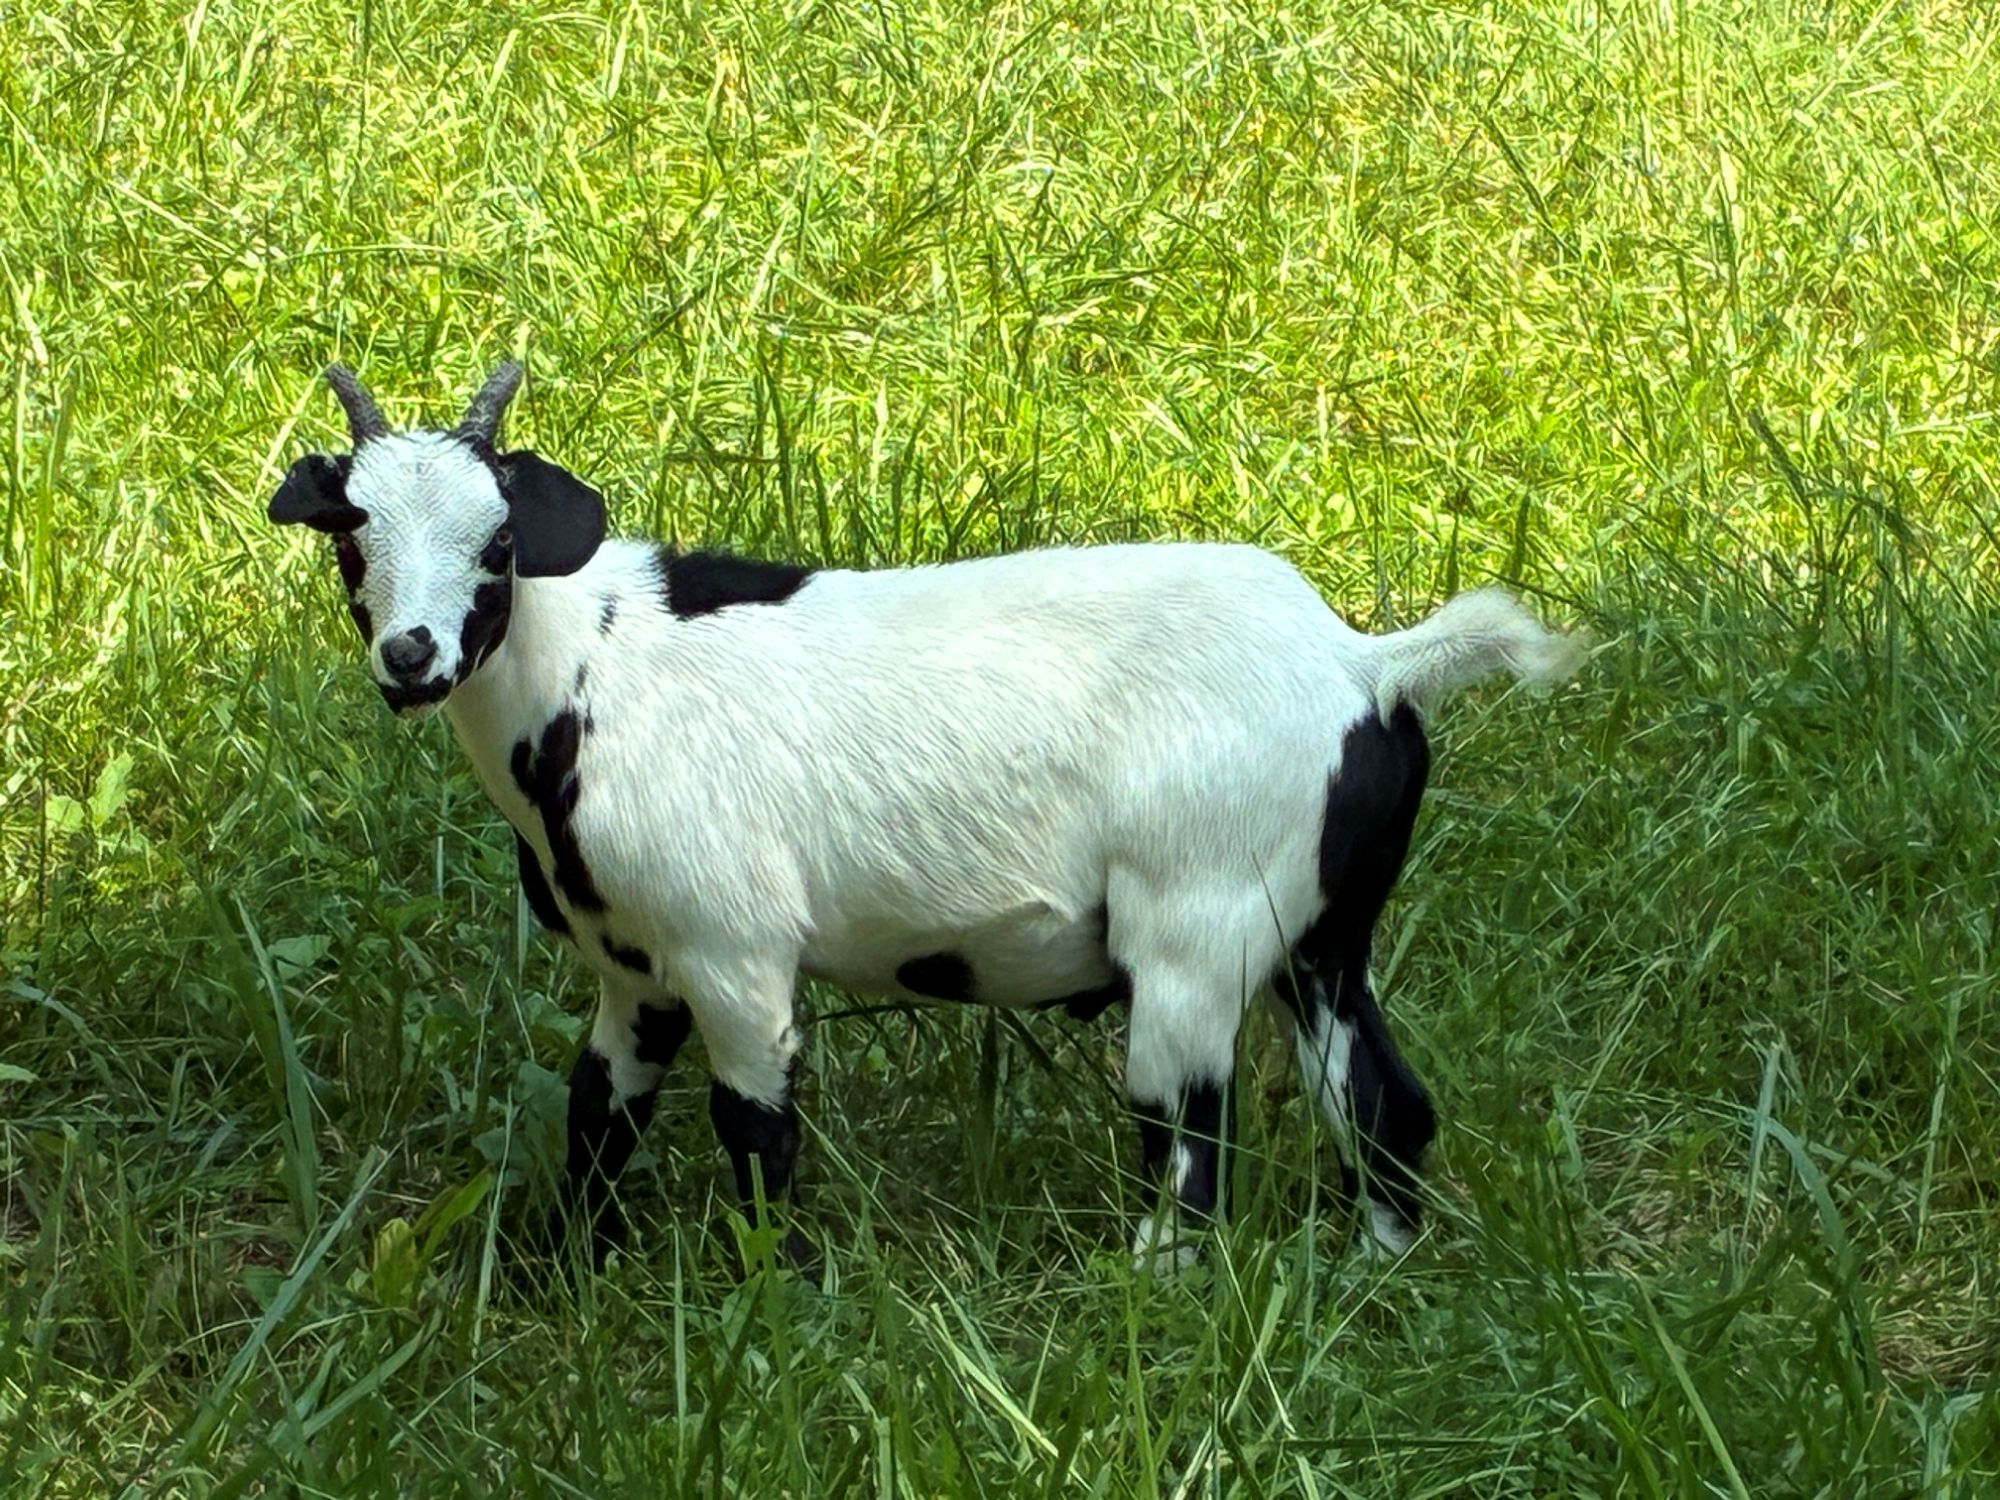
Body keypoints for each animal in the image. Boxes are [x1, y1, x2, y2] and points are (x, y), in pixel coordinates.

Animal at [268, 362, 1583, 1270]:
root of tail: (1365, 663)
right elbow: (598, 1116)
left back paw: (1151, 1293)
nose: (411, 655)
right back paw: (1374, 1270)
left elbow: (755, 1129)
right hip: (1317, 925)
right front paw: (561, 1278)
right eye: (351, 538)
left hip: (1196, 922)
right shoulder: (633, 967)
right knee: (1380, 1101)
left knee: (1188, 1136)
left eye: (496, 542)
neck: (596, 670)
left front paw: (769, 1302)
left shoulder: (733, 949)